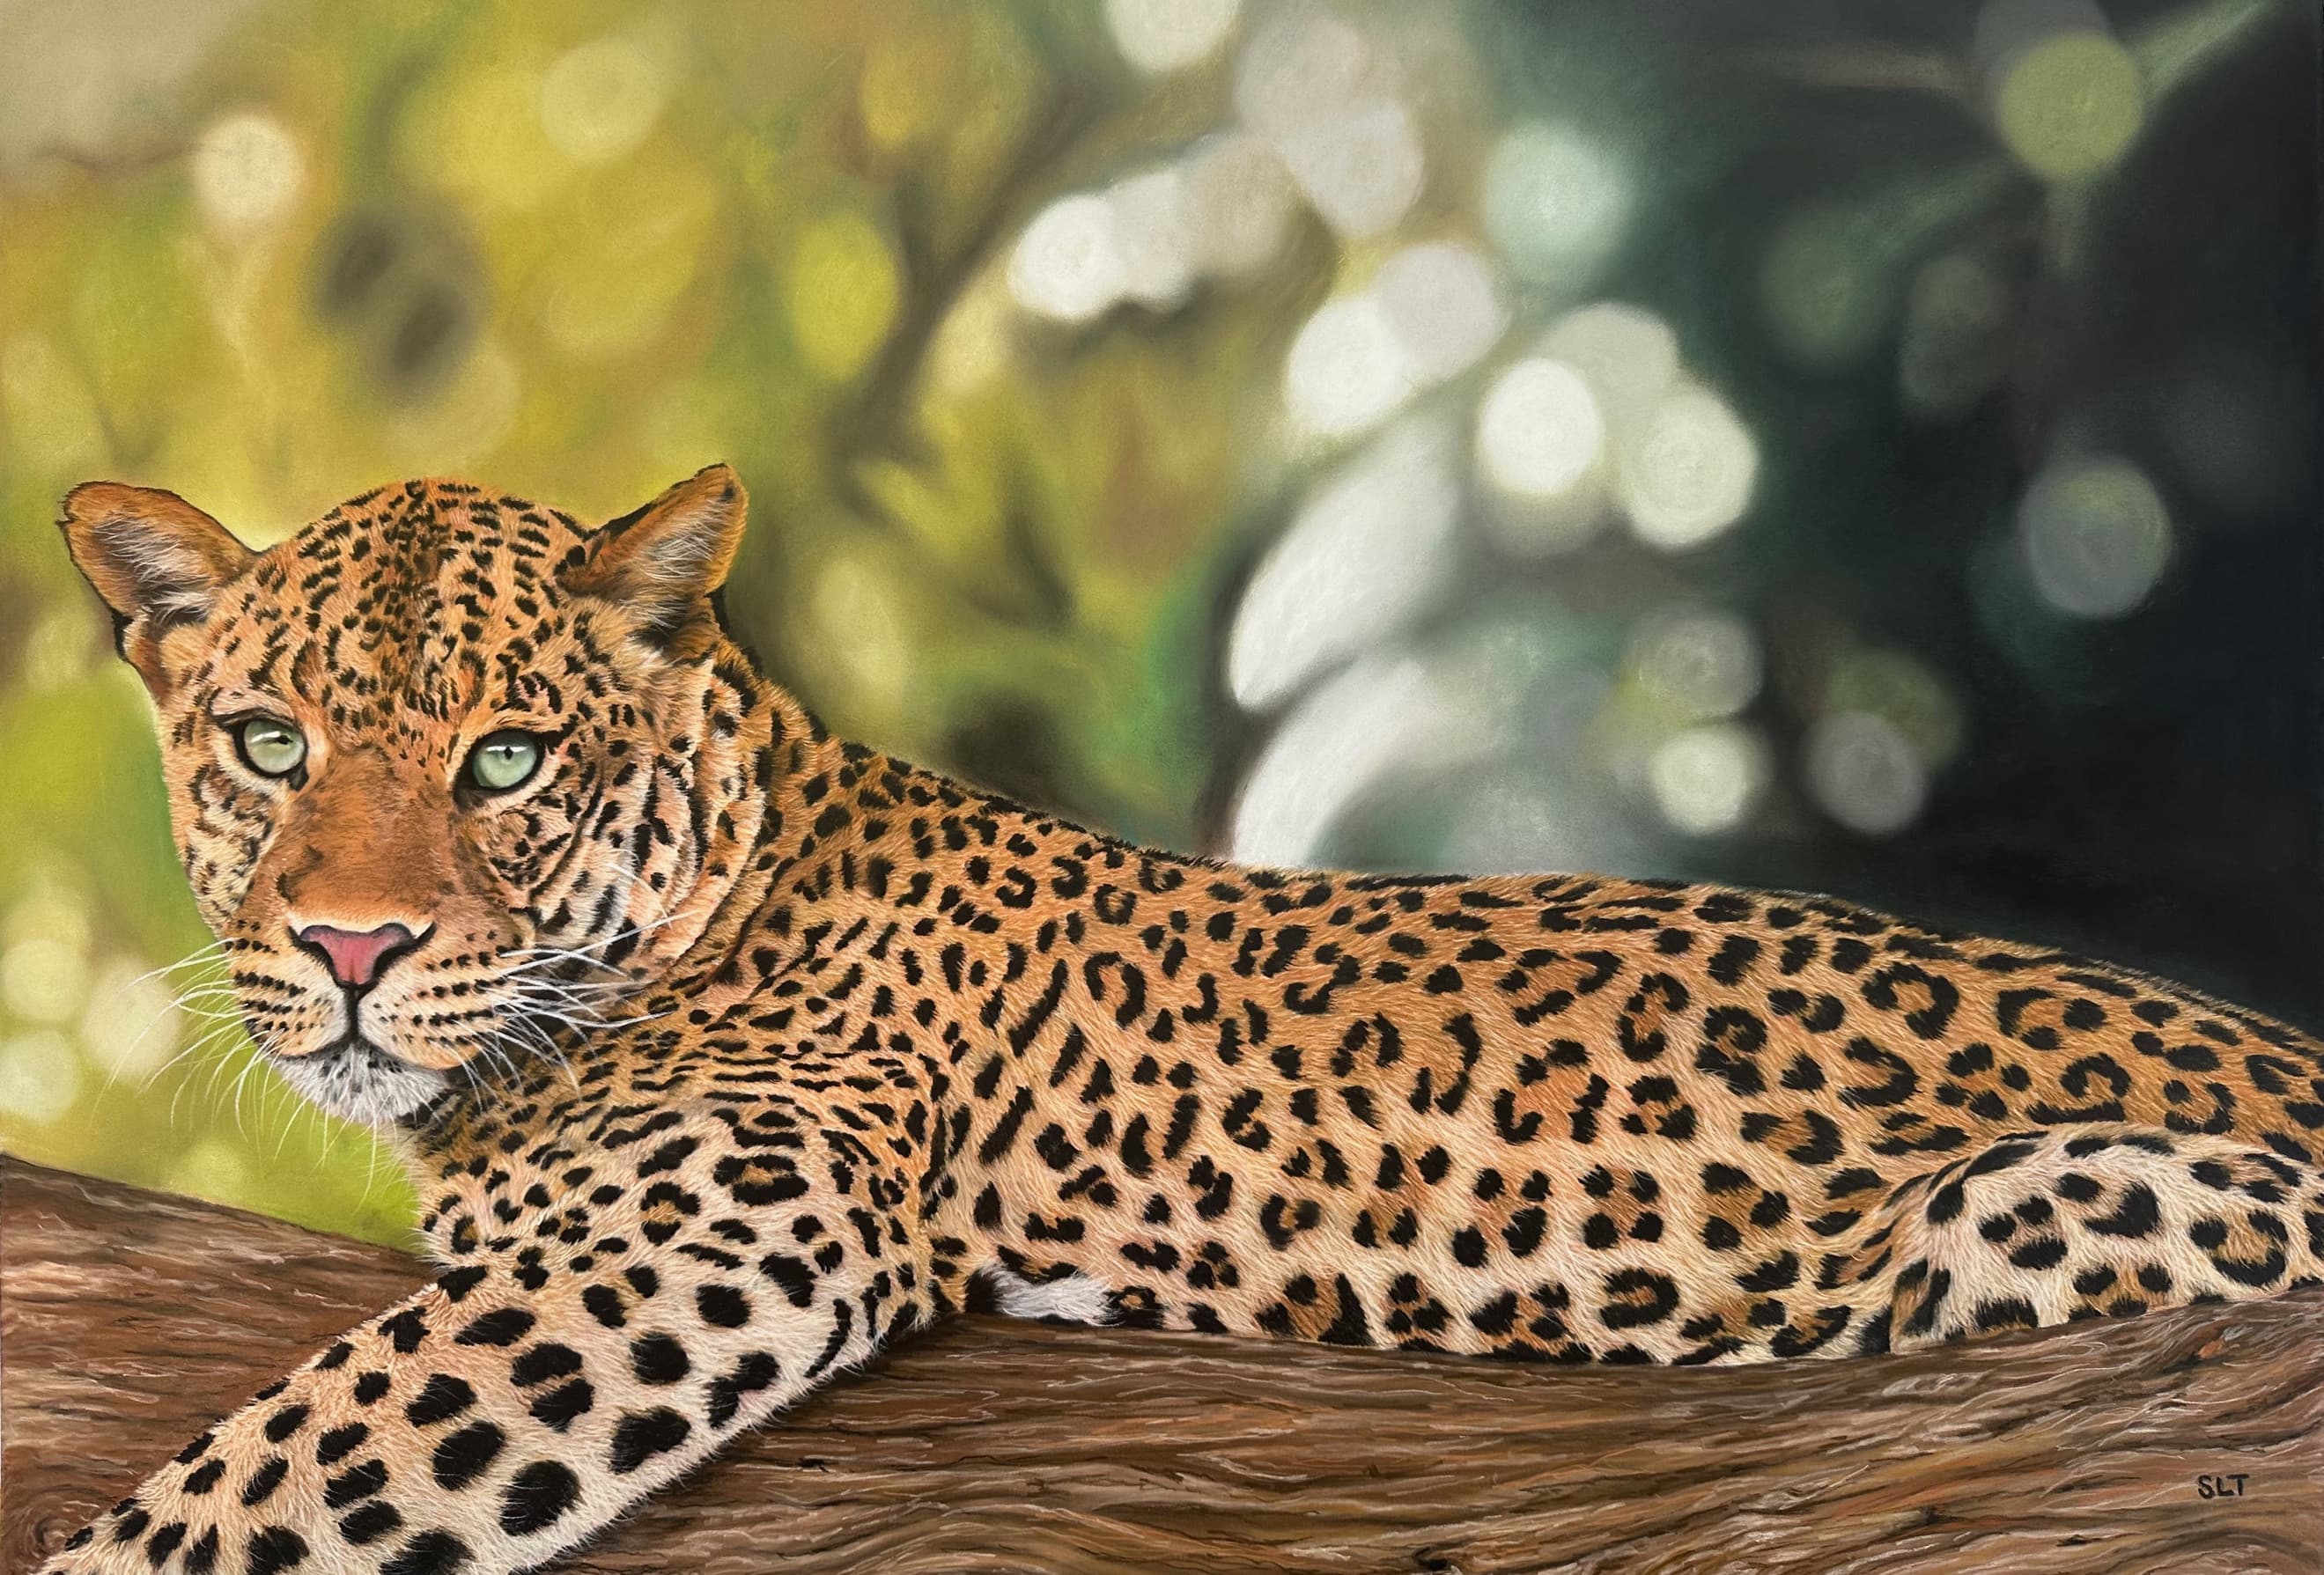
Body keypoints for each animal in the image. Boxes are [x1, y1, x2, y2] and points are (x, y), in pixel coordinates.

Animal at [37, 463, 2324, 1575]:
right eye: (266, 742)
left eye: (506, 759)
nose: (350, 945)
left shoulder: (731, 1216)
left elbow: (269, 1471)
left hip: (2032, 1204)